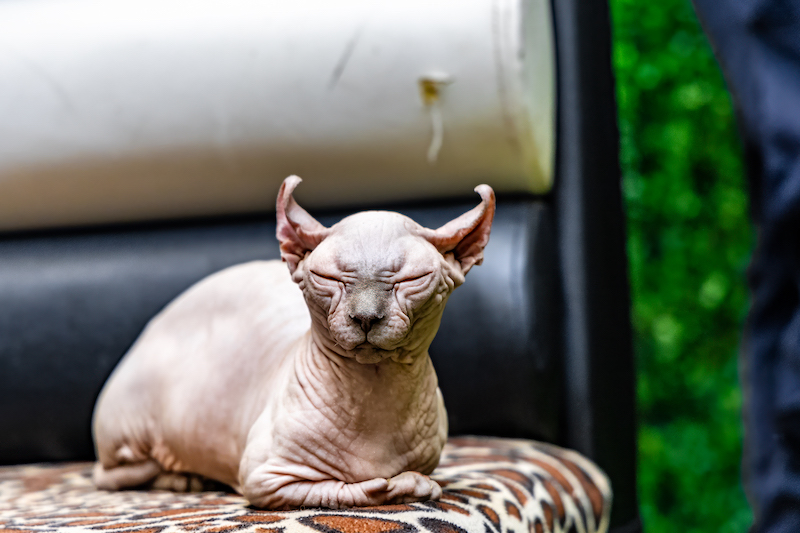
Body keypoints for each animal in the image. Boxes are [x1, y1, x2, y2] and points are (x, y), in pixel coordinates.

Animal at [92, 177, 494, 510]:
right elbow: (340, 490)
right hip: (129, 437)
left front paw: (409, 484)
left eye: (412, 279)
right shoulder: (264, 477)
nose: (365, 317)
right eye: (328, 277)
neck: (374, 391)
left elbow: (421, 479)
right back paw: (183, 476)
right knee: (116, 474)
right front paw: (389, 487)